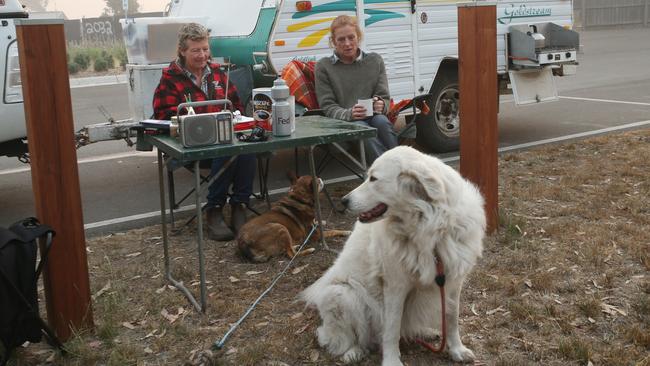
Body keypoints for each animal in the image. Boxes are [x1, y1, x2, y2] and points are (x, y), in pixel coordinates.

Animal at [298, 144, 480, 364]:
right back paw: (353, 352)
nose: (343, 201)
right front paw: (392, 361)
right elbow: (392, 329)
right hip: (340, 294)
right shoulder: (395, 286)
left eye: (373, 179)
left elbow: (452, 319)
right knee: (344, 338)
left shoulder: (452, 283)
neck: (428, 227)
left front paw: (456, 349)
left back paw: (427, 332)